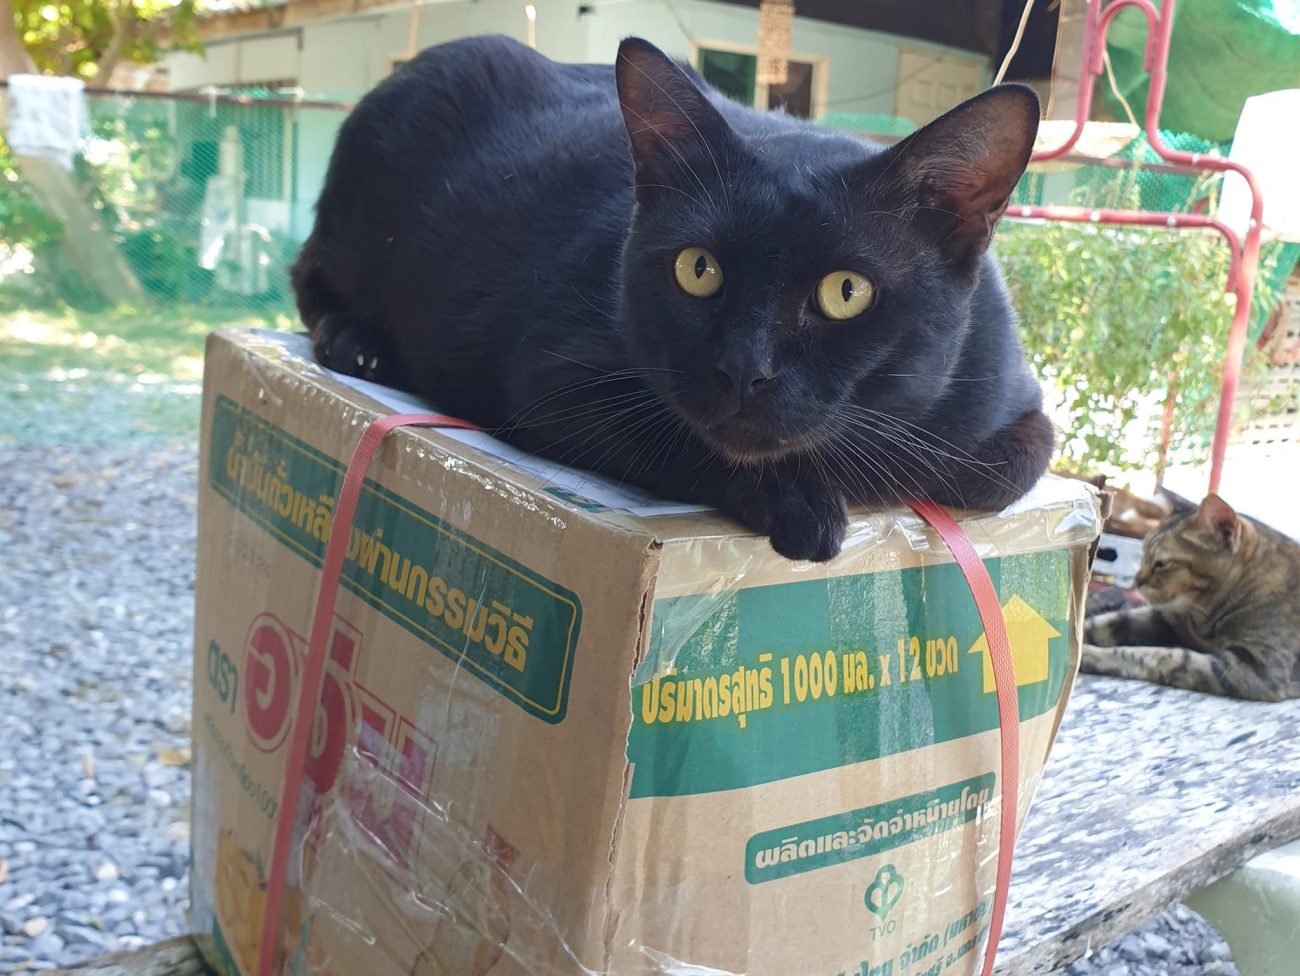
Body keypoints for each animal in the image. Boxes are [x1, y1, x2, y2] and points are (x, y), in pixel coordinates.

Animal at [292, 34, 1053, 562]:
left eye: (846, 292)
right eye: (698, 269)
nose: (745, 369)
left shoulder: (1022, 403)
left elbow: (998, 468)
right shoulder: (554, 377)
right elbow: (679, 439)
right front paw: (800, 501)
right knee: (308, 275)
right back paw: (358, 344)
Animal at [1082, 493, 1300, 701]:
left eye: (1161, 564)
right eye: (1142, 554)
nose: (1136, 582)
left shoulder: (1258, 669)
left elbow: (1161, 656)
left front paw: (1090, 654)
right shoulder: (1164, 618)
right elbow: (1105, 622)